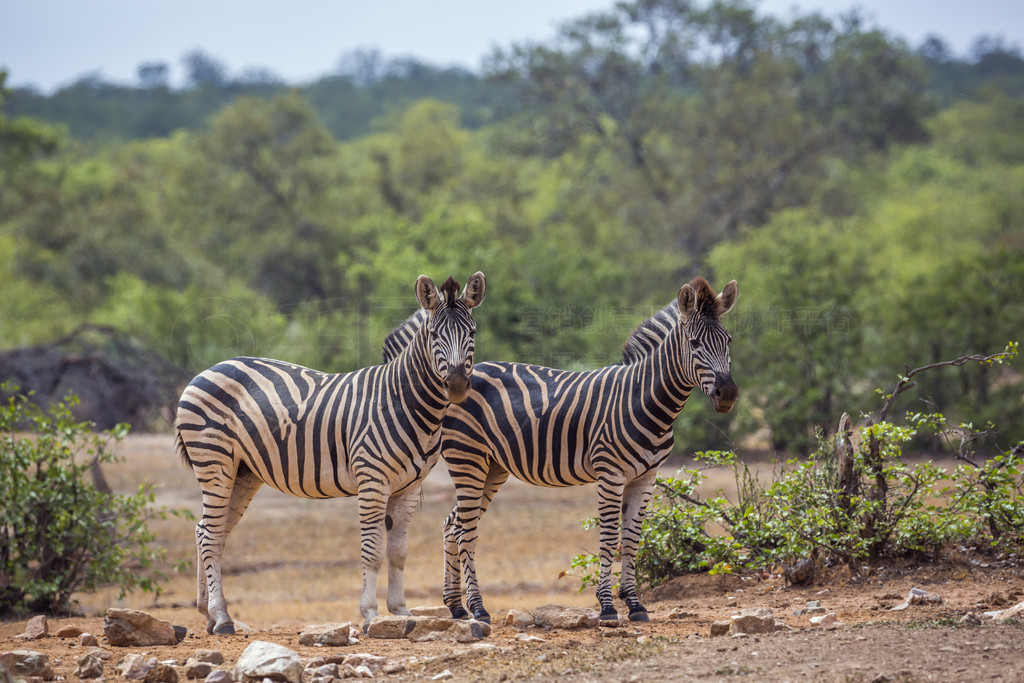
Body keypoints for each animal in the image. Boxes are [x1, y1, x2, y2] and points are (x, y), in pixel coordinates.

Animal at [177, 270, 487, 634]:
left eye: (472, 332)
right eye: (435, 335)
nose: (457, 385)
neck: (402, 399)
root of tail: (206, 370)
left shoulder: (409, 487)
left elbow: (399, 551)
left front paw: (401, 612)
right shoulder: (372, 480)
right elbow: (372, 551)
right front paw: (370, 613)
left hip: (243, 472)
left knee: (206, 532)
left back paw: (208, 613)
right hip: (214, 461)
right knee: (211, 535)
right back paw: (223, 617)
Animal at [382, 274, 737, 622]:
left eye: (729, 341)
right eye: (695, 343)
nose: (728, 394)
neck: (643, 399)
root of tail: (457, 380)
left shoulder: (646, 477)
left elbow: (632, 538)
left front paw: (635, 605)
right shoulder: (610, 473)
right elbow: (609, 538)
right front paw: (607, 607)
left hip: (492, 468)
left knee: (452, 526)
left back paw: (457, 606)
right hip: (466, 459)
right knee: (465, 530)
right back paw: (478, 609)